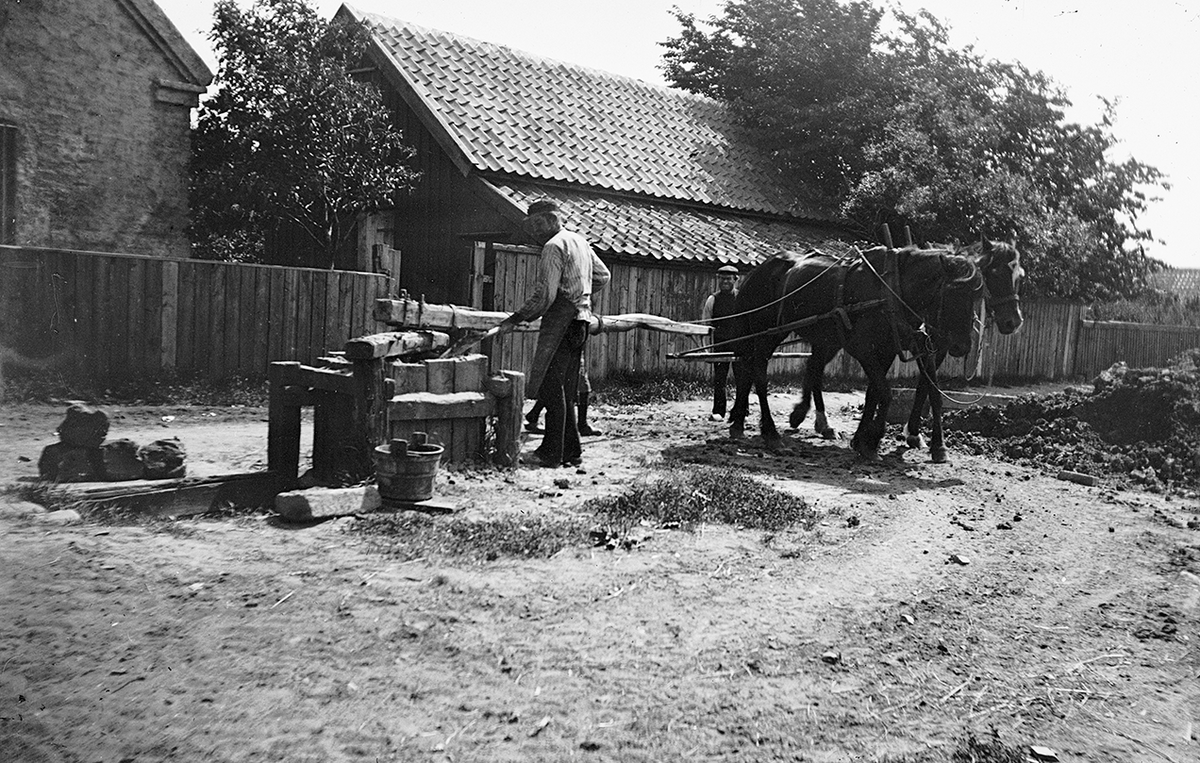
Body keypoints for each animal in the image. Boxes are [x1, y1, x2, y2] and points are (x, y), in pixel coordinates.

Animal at [727, 244, 985, 461]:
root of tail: (759, 270)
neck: (890, 288)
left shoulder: (887, 349)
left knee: (763, 368)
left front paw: (863, 440)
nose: (962, 346)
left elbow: (877, 393)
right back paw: (771, 433)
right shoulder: (862, 348)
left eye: (975, 297)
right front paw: (873, 441)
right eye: (952, 292)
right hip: (766, 331)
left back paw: (742, 422)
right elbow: (885, 393)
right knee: (758, 372)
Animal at [789, 239, 1024, 462]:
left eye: (1018, 277)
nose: (1012, 321)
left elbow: (923, 390)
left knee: (814, 366)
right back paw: (811, 418)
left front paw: (917, 437)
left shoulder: (925, 348)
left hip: (828, 340)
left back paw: (817, 421)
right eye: (994, 273)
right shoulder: (906, 346)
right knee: (815, 368)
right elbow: (888, 389)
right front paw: (888, 437)